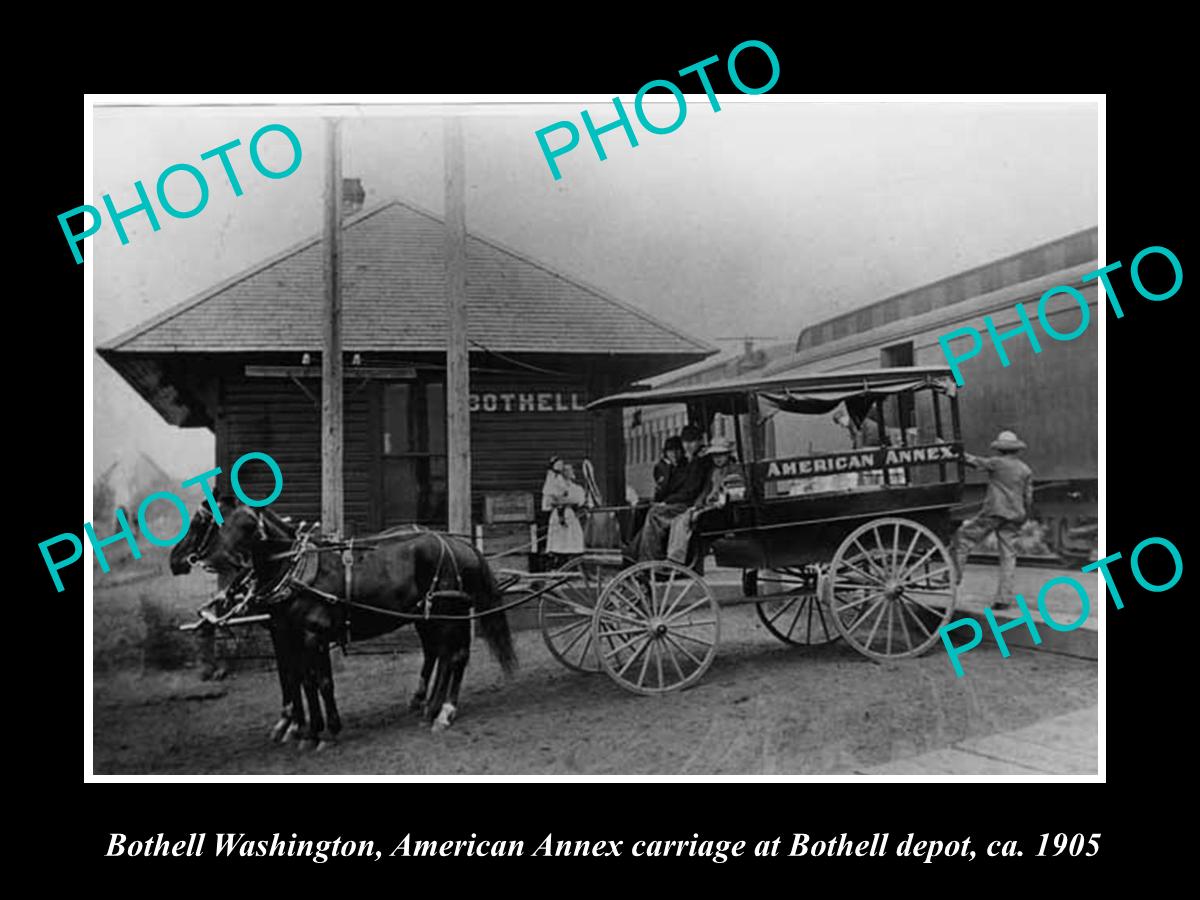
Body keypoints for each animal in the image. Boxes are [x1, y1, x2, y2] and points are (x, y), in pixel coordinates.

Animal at [169, 501, 516, 748]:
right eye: (220, 525)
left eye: (248, 525)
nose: (177, 560)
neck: (292, 571)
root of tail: (460, 545)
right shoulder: (287, 635)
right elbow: (298, 679)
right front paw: (300, 728)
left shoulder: (312, 636)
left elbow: (318, 681)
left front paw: (321, 731)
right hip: (429, 616)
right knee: (441, 655)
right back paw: (428, 705)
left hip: (447, 613)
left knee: (453, 657)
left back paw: (443, 711)